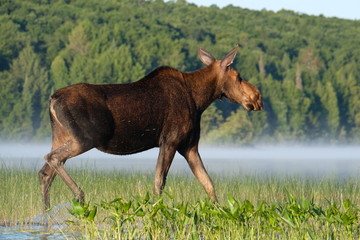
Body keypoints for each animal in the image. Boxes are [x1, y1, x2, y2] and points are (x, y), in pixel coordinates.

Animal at [39, 46, 262, 211]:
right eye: (239, 76)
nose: (257, 97)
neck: (200, 100)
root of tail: (52, 99)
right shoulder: (170, 140)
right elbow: (159, 182)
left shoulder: (189, 146)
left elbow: (208, 183)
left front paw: (219, 211)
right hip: (86, 138)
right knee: (52, 159)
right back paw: (79, 195)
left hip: (61, 137)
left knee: (45, 173)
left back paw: (47, 213)